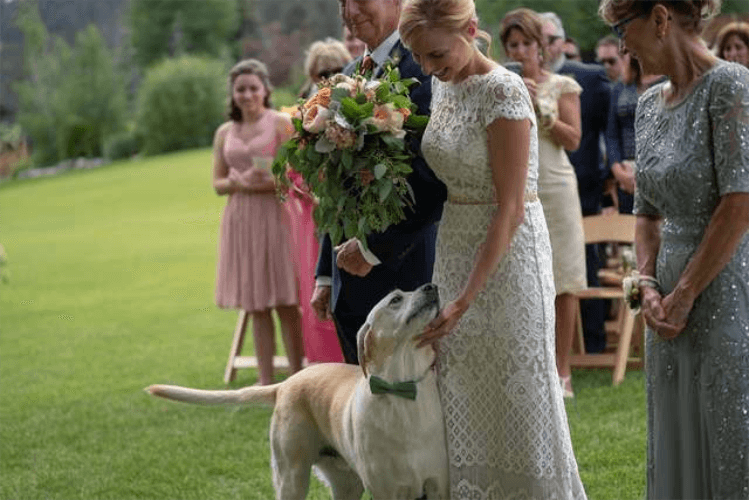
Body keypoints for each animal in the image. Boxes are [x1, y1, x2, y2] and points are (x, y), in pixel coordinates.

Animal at [149, 284, 448, 500]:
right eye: (395, 299)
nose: (432, 285)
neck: (402, 389)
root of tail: (287, 382)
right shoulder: (386, 489)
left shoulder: (438, 484)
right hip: (292, 477)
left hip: (346, 483)